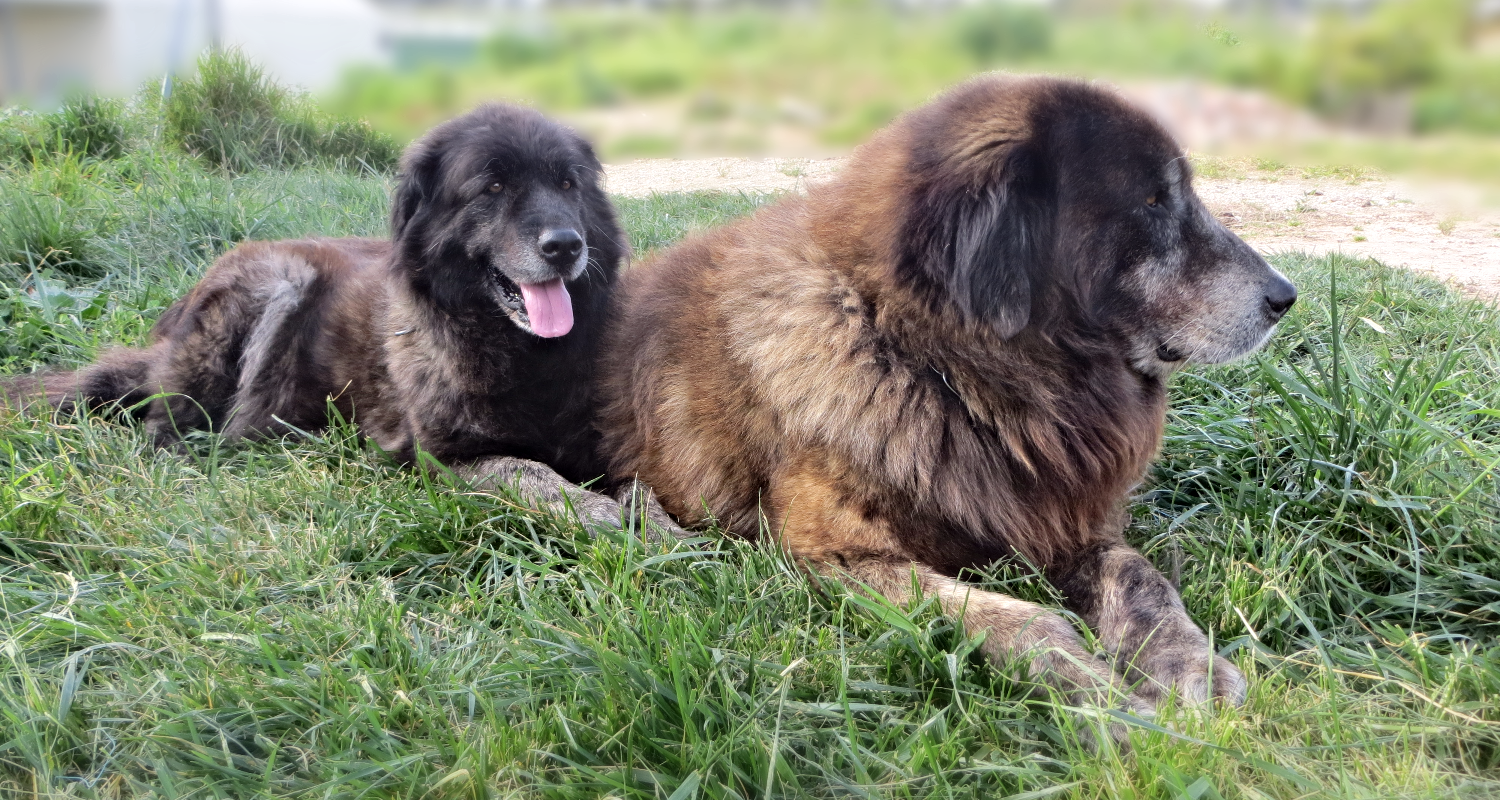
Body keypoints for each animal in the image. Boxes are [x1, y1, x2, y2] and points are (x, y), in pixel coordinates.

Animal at [4, 104, 676, 529]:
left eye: (568, 184)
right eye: (492, 188)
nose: (565, 245)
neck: (522, 353)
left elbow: (644, 485)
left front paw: (670, 534)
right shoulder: (444, 459)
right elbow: (532, 473)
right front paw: (600, 515)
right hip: (278, 284)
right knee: (169, 428)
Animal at [598, 76, 1296, 738]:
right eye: (1152, 201)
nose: (1285, 296)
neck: (943, 370)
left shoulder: (1062, 517)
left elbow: (1139, 575)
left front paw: (1186, 665)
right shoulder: (832, 555)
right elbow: (1029, 624)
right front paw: (1109, 705)